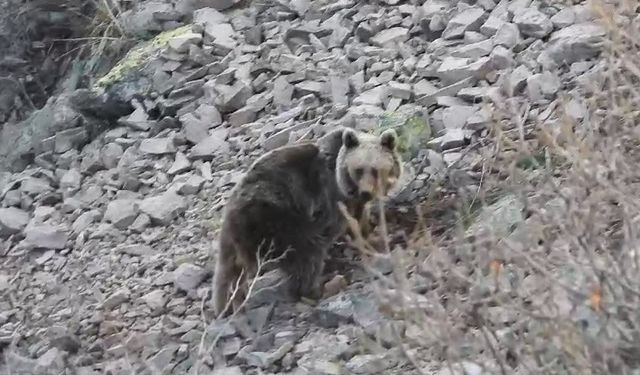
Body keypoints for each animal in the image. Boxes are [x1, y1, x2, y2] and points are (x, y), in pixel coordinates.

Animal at [212, 126, 402, 318]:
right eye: (359, 169)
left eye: (376, 169)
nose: (366, 192)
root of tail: (233, 219)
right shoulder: (331, 198)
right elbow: (346, 225)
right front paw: (371, 242)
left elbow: (360, 217)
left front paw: (373, 235)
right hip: (278, 223)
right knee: (306, 256)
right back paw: (316, 290)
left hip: (231, 241)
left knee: (226, 274)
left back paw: (226, 306)